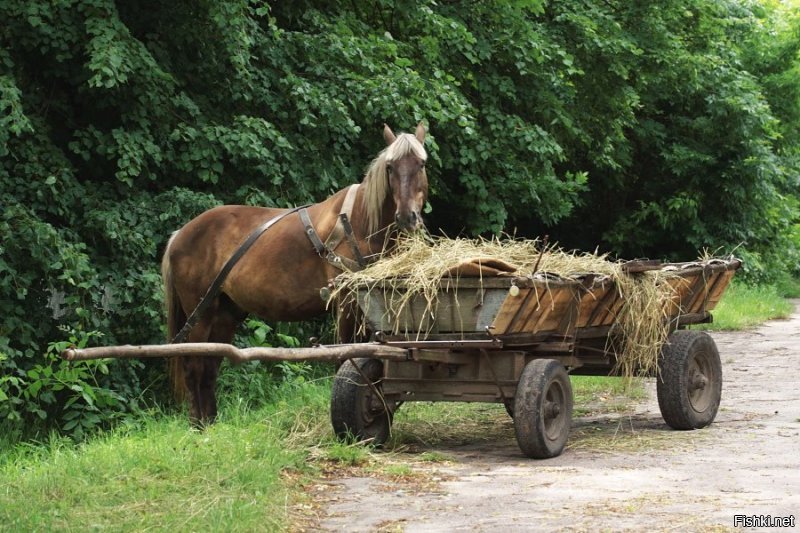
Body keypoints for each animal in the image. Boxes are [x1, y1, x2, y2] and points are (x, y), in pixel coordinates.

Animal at [159, 120, 428, 424]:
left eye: (421, 163)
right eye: (390, 167)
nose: (407, 217)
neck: (358, 223)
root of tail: (180, 234)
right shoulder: (345, 302)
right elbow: (347, 352)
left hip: (225, 313)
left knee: (209, 367)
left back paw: (211, 424)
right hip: (201, 313)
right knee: (194, 366)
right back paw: (199, 427)